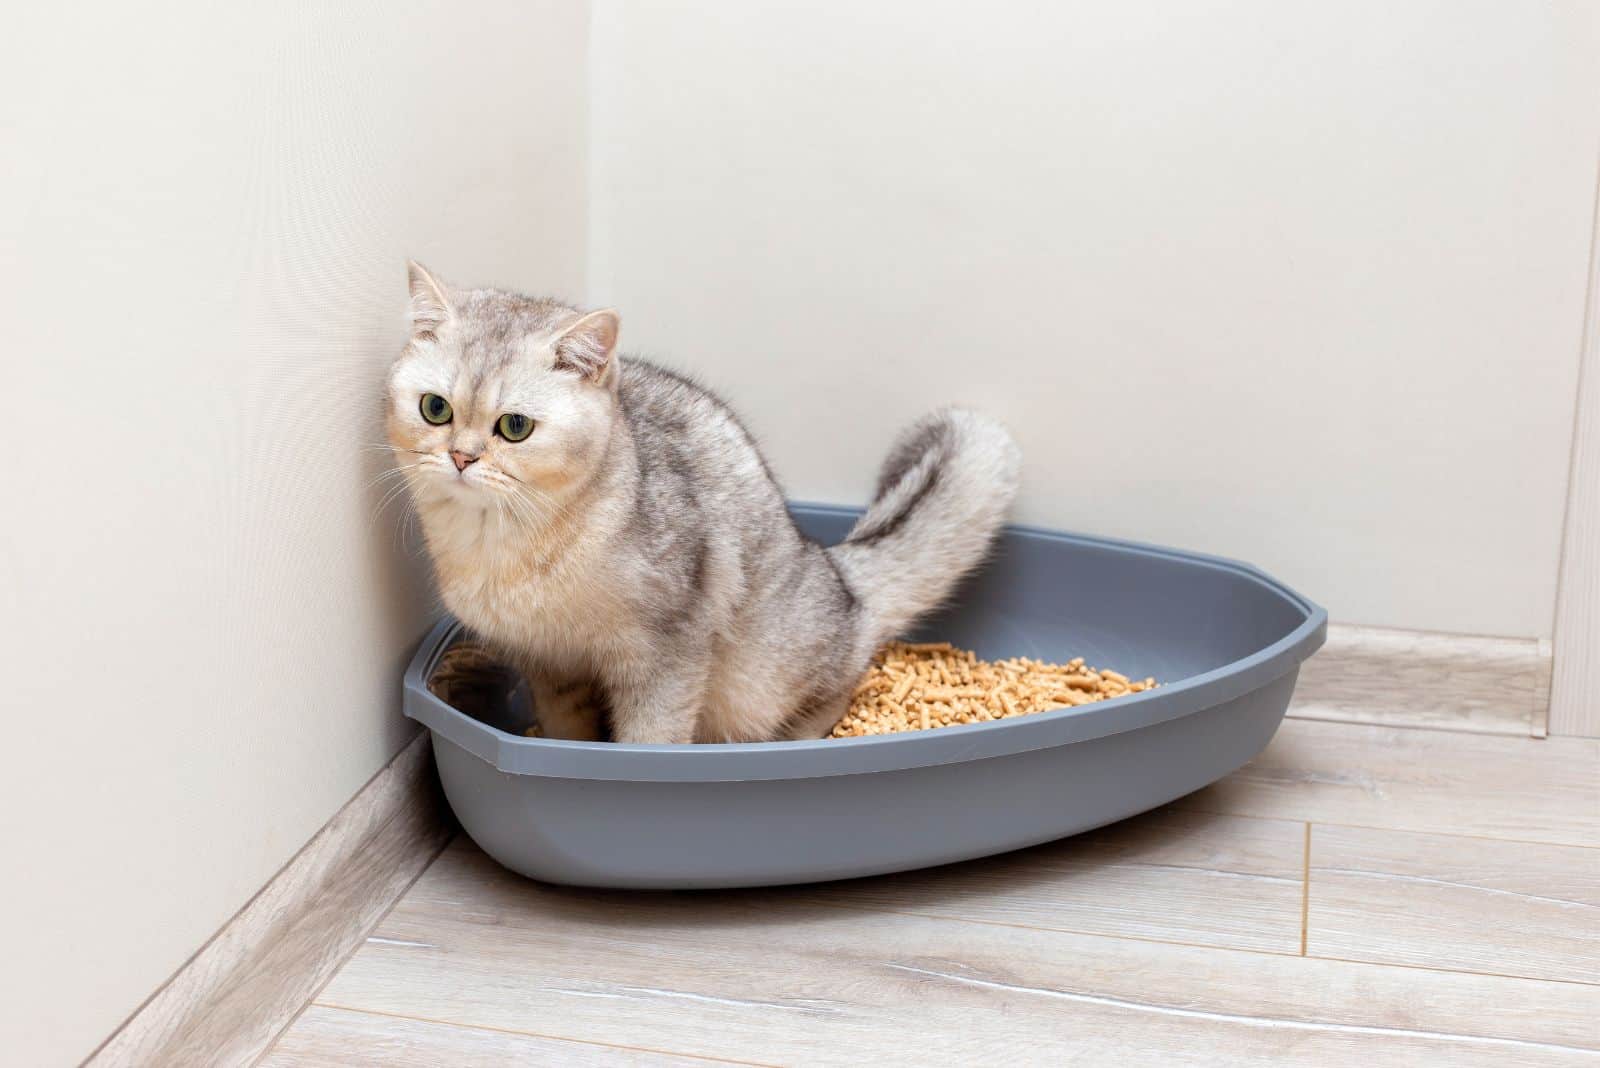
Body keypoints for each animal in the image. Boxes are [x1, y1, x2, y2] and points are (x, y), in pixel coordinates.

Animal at [385, 260, 1011, 741]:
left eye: (514, 427)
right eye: (435, 409)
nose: (462, 457)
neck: (502, 546)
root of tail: (838, 572)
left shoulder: (668, 654)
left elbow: (651, 738)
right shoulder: (551, 666)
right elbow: (568, 735)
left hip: (760, 680)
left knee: (845, 679)